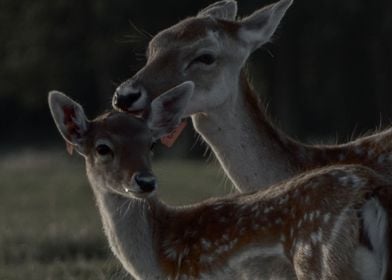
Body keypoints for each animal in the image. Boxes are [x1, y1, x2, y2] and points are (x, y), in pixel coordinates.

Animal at [50, 82, 390, 278]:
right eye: (102, 148)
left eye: (151, 144)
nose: (145, 182)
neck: (158, 261)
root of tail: (372, 192)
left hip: (325, 263)